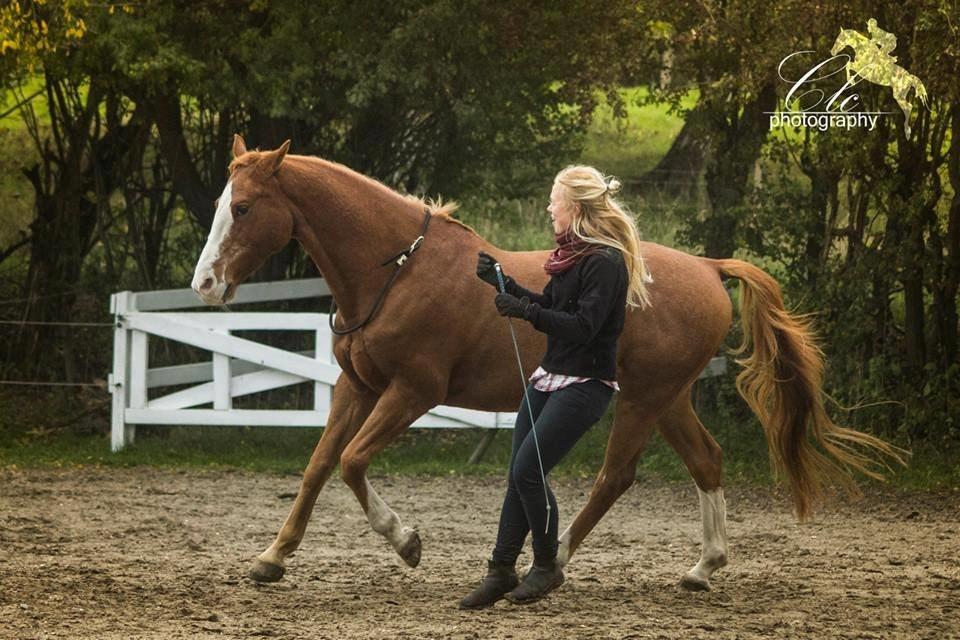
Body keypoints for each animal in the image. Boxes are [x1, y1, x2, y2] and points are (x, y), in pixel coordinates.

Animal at [193, 138, 900, 592]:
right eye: (221, 203)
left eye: (245, 208)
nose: (204, 284)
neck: (397, 269)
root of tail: (707, 267)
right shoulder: (357, 387)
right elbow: (318, 468)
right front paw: (273, 557)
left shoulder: (412, 391)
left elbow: (352, 462)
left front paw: (406, 540)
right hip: (668, 398)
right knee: (706, 462)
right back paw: (702, 568)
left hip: (640, 400)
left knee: (616, 476)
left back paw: (554, 557)